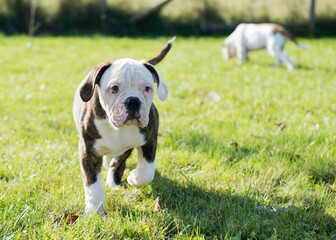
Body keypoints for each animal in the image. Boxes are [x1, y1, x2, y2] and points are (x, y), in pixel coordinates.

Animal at [72, 37, 175, 216]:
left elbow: (147, 170)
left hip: (126, 149)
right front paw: (94, 210)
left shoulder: (150, 140)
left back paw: (114, 182)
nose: (133, 101)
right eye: (114, 88)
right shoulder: (88, 151)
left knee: (116, 163)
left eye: (147, 88)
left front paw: (134, 178)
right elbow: (92, 184)